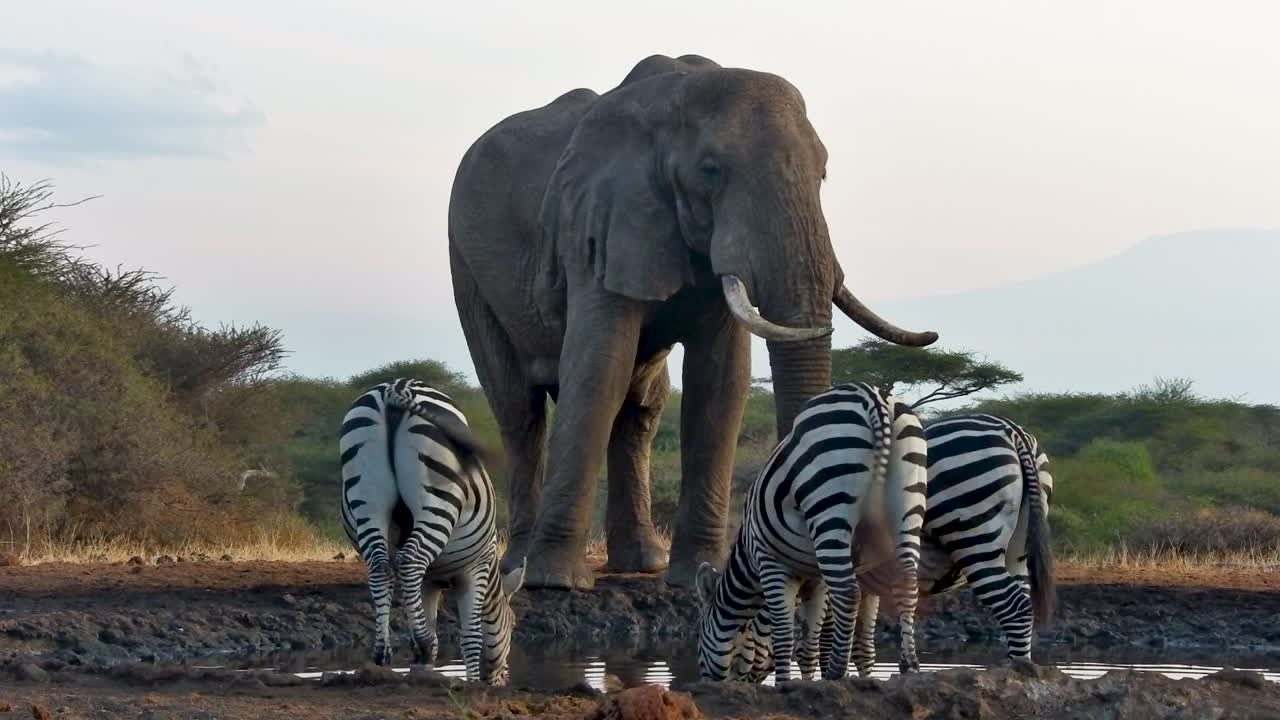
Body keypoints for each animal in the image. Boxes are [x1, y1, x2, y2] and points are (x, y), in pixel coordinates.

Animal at [339, 377, 526, 685]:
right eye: (512, 624)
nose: (501, 680)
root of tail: (397, 387)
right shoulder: (475, 569)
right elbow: (471, 637)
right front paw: (470, 680)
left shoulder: (429, 582)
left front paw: (422, 666)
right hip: (438, 499)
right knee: (410, 560)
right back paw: (418, 644)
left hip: (366, 497)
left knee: (380, 567)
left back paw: (381, 652)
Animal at [447, 53, 937, 590]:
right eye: (710, 170)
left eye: (824, 172)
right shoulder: (598, 223)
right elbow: (599, 370)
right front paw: (556, 581)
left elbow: (719, 382)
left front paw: (700, 573)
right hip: (466, 267)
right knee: (520, 410)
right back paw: (517, 565)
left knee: (640, 407)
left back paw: (642, 563)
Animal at [694, 382, 928, 683]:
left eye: (699, 639)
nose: (706, 682)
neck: (748, 555)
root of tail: (872, 395)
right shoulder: (815, 580)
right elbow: (810, 647)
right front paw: (808, 684)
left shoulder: (772, 565)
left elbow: (784, 637)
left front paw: (784, 684)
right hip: (909, 502)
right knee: (907, 582)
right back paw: (909, 666)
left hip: (829, 503)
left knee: (848, 592)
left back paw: (837, 670)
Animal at [737, 412, 1056, 675]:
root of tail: (1012, 431)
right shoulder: (867, 581)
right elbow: (861, 643)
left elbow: (827, 638)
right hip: (1017, 547)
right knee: (1024, 603)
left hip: (973, 529)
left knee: (1014, 605)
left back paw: (1017, 670)